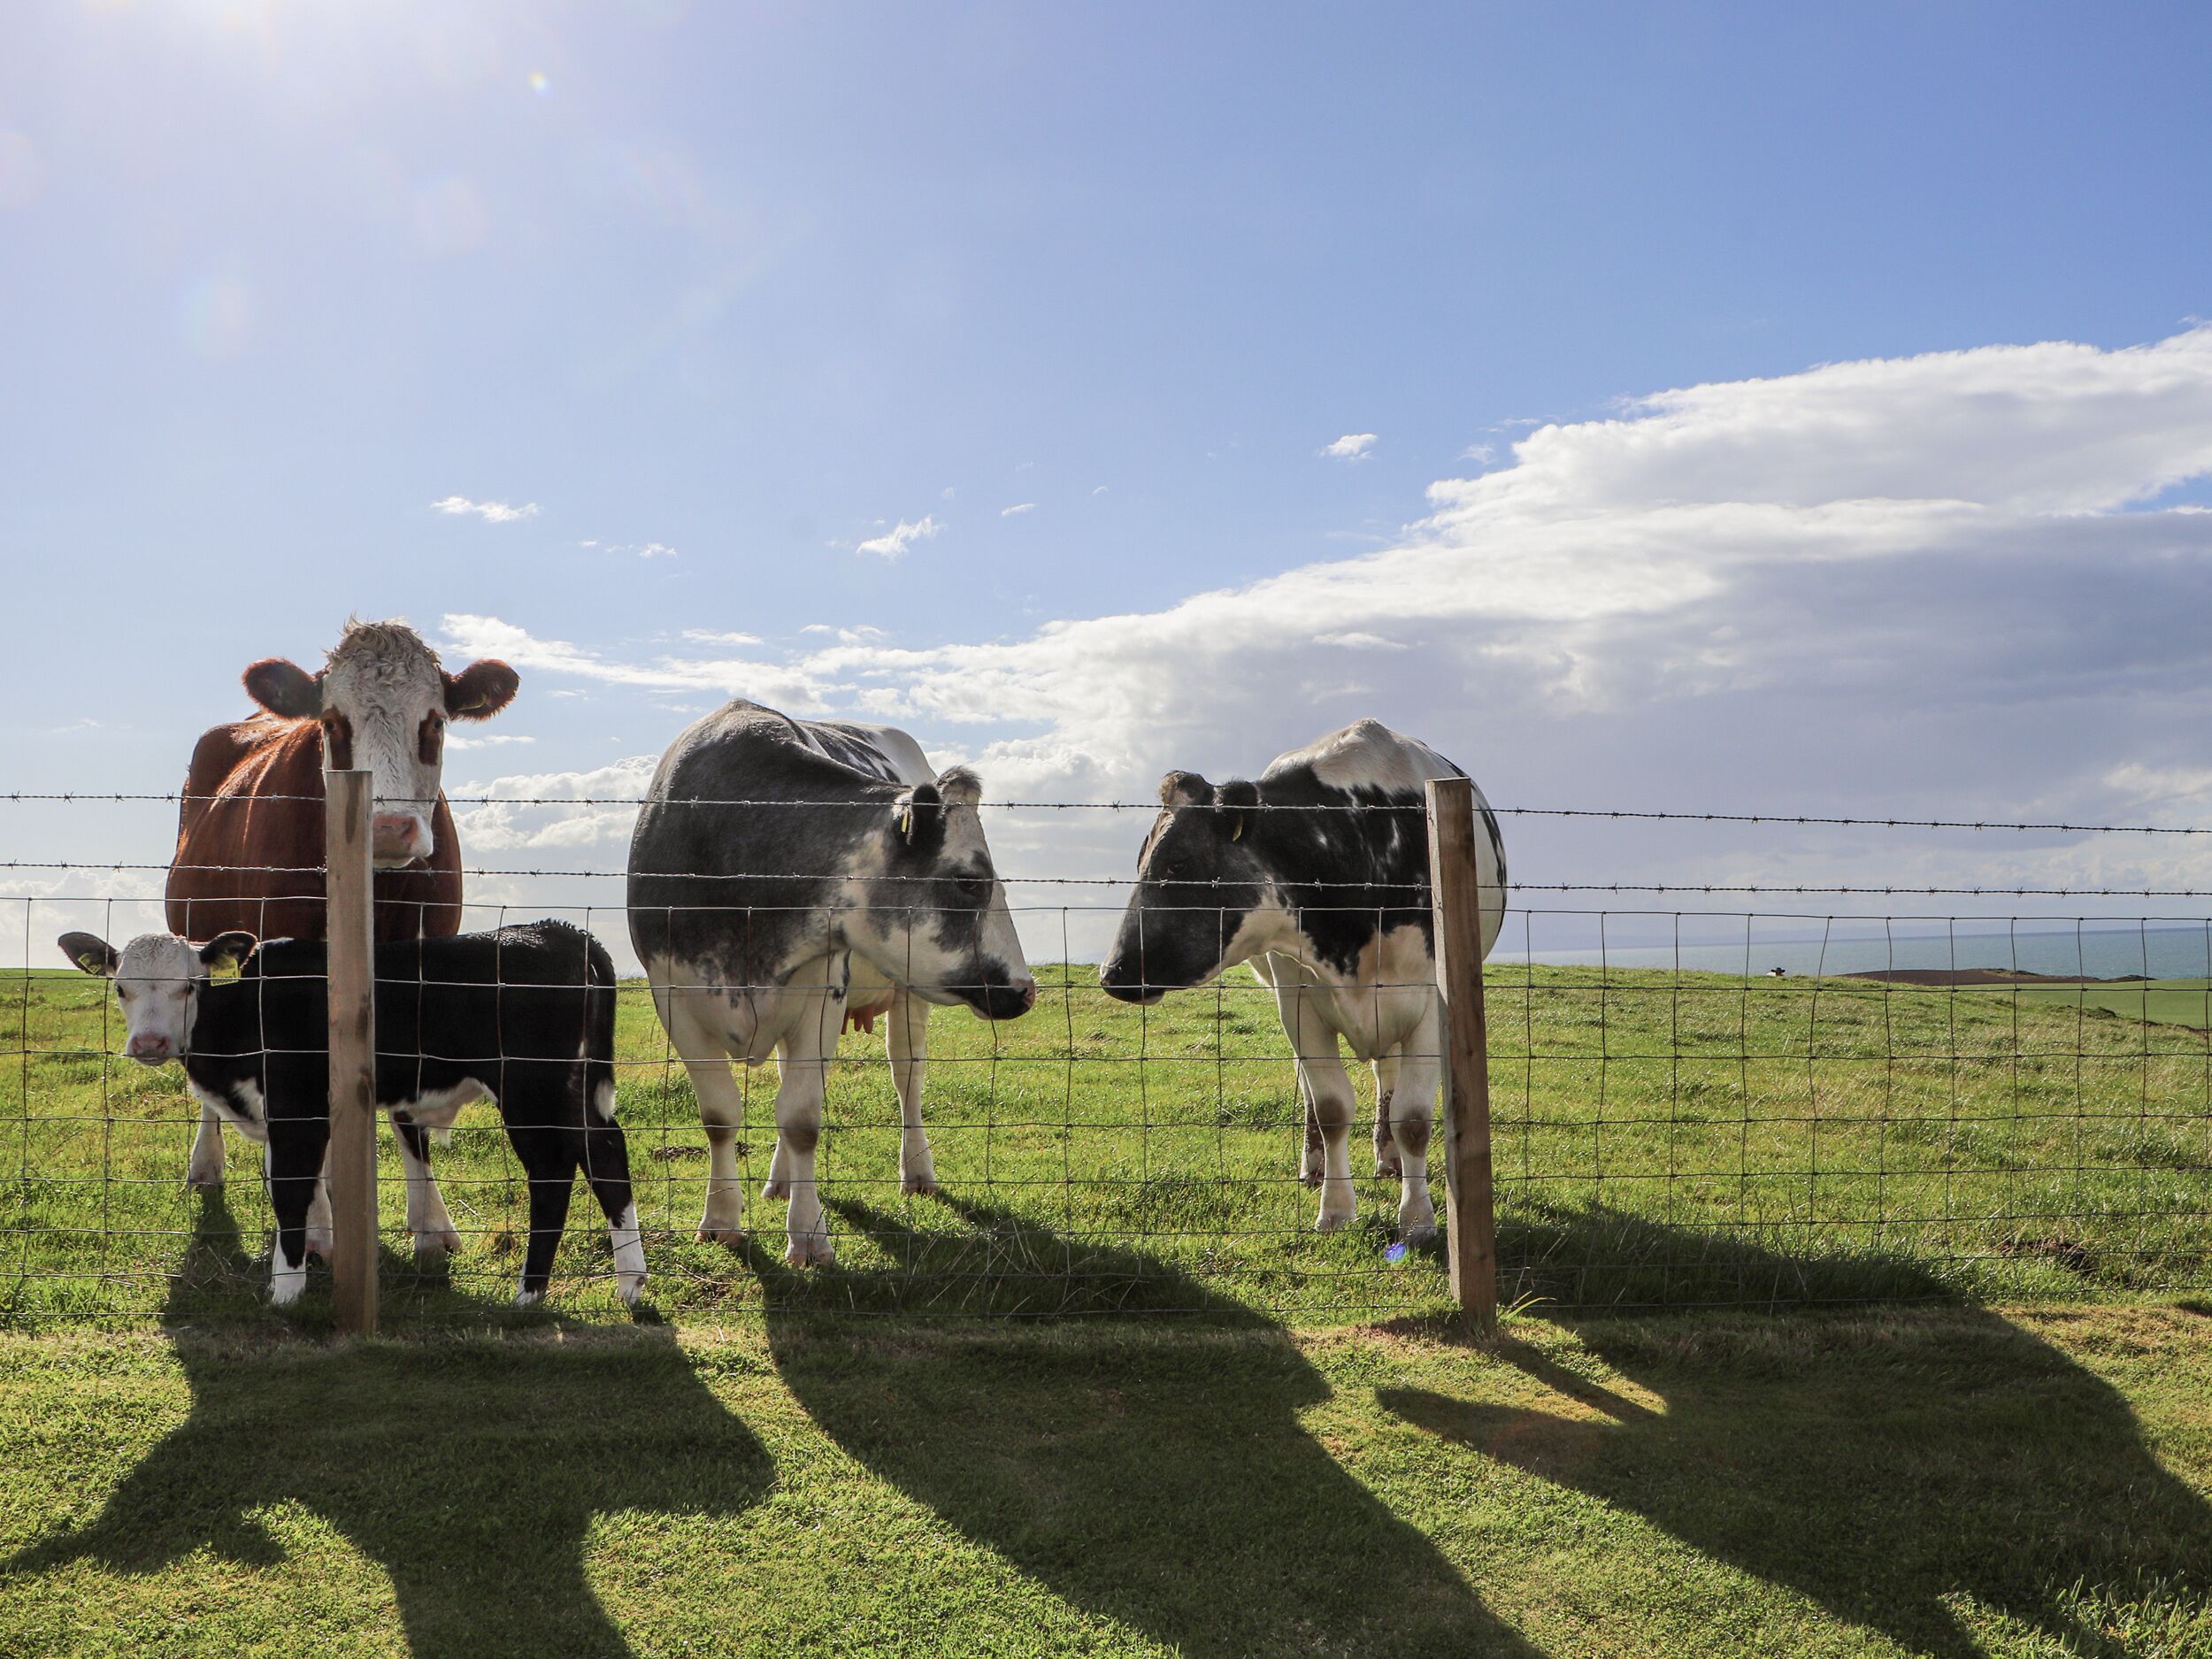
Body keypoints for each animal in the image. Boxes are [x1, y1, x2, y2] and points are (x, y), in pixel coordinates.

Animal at [58, 921, 642, 1309]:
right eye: (120, 987)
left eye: (190, 985)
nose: (149, 1043)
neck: (247, 1013)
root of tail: (557, 931)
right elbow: (299, 1184)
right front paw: (317, 1255)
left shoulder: (297, 1111)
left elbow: (290, 1189)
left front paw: (286, 1290)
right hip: (572, 1090)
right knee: (607, 1155)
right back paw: (631, 1285)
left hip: (530, 1090)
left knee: (553, 1171)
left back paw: (529, 1292)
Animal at [627, 701, 1038, 1266]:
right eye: (970, 881)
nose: (1025, 988)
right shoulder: (673, 998)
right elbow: (719, 1115)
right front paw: (721, 1221)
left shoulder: (823, 992)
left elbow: (801, 1118)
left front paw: (807, 1235)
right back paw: (779, 1182)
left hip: (906, 1000)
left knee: (907, 1076)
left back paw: (917, 1172)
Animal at [1097, 719, 1506, 1242]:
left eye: (1177, 864)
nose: (1114, 973)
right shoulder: (1298, 1002)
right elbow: (1331, 1108)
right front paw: (1336, 1211)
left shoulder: (1433, 1004)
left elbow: (1412, 1119)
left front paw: (1417, 1219)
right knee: (1316, 1092)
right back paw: (1315, 1166)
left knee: (1386, 1078)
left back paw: (1389, 1159)